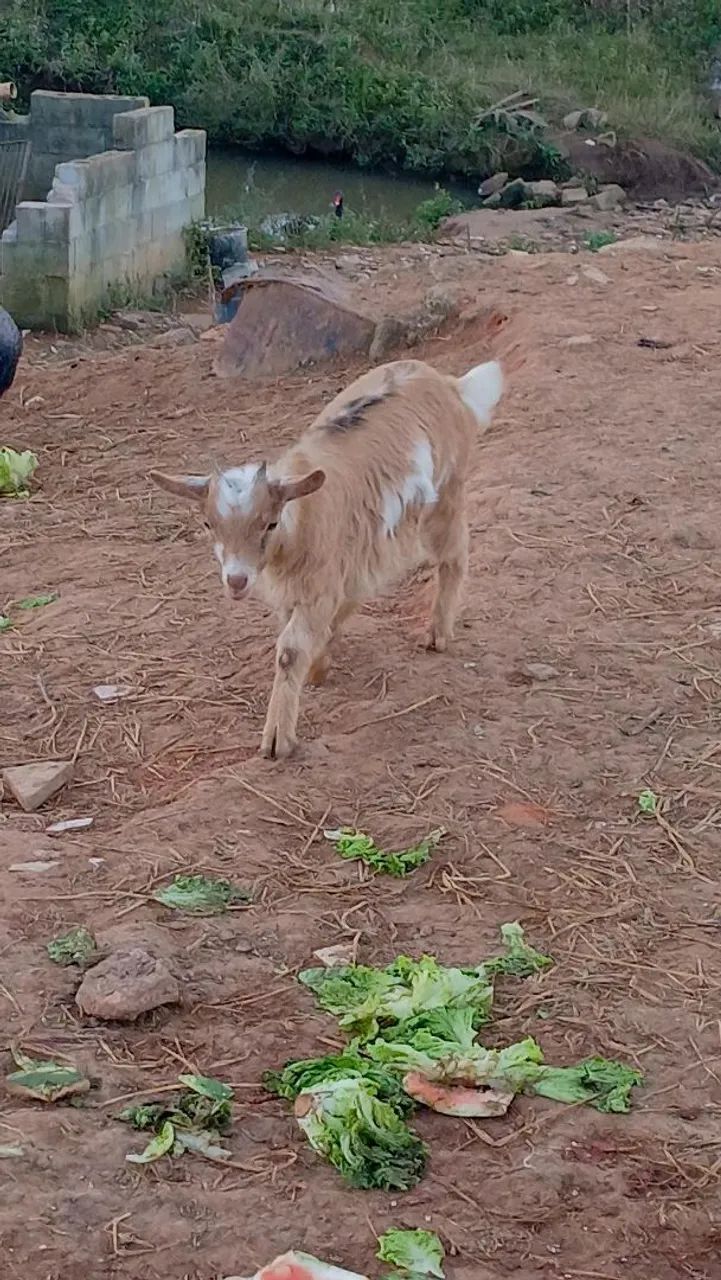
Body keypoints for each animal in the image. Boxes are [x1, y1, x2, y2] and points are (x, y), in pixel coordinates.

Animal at [151, 353, 504, 759]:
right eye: (208, 523)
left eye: (270, 523)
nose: (236, 580)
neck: (300, 520)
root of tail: (449, 385)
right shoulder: (312, 583)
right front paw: (318, 667)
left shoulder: (321, 583)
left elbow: (289, 650)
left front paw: (278, 740)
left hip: (446, 495)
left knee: (454, 554)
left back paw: (438, 634)